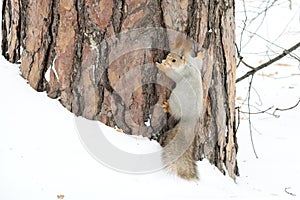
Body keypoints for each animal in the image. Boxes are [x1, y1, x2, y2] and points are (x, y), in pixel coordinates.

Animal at [155, 35, 204, 180]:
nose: (165, 61)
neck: (187, 65)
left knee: (173, 110)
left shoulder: (180, 74)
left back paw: (167, 107)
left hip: (175, 100)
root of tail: (190, 119)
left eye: (174, 60)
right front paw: (201, 54)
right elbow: (199, 61)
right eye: (168, 55)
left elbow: (171, 74)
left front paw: (161, 66)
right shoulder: (195, 63)